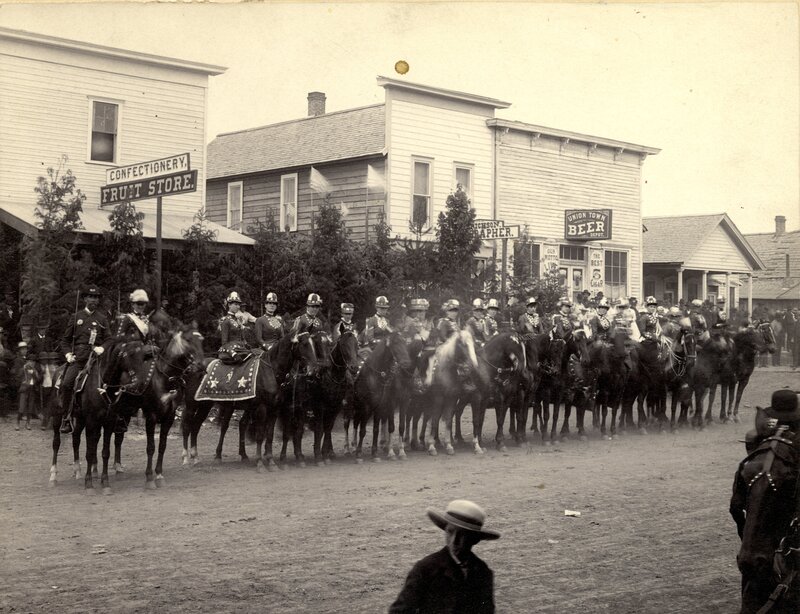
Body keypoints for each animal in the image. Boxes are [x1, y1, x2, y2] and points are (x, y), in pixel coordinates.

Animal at [354, 332, 412, 462]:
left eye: (405, 344)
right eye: (395, 344)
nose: (407, 364)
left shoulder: (399, 403)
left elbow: (398, 427)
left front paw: (400, 452)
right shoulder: (372, 405)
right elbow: (365, 430)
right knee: (354, 423)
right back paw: (351, 448)